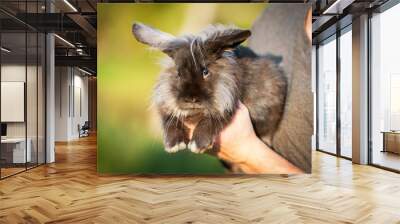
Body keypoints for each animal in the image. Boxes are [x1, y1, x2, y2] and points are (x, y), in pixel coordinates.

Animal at [133, 22, 286, 154]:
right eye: (178, 73)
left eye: (205, 71)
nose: (191, 99)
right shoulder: (166, 106)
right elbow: (169, 120)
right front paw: (174, 144)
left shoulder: (227, 105)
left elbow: (211, 120)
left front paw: (198, 144)